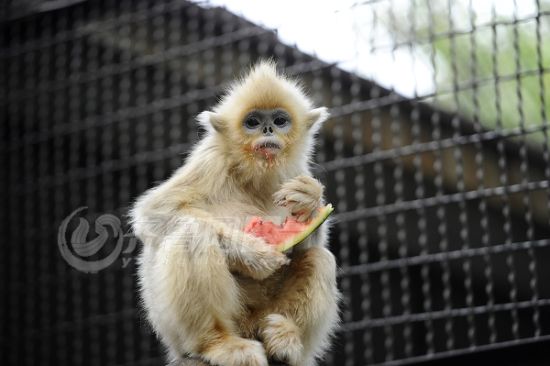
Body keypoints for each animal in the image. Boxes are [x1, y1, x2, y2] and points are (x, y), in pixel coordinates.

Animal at [132, 60, 340, 366]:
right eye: (252, 122)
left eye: (280, 120)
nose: (268, 128)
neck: (252, 178)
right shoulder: (210, 159)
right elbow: (157, 212)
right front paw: (253, 253)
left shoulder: (295, 172)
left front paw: (310, 201)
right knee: (193, 233)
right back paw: (219, 343)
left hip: (266, 316)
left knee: (320, 258)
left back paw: (286, 339)